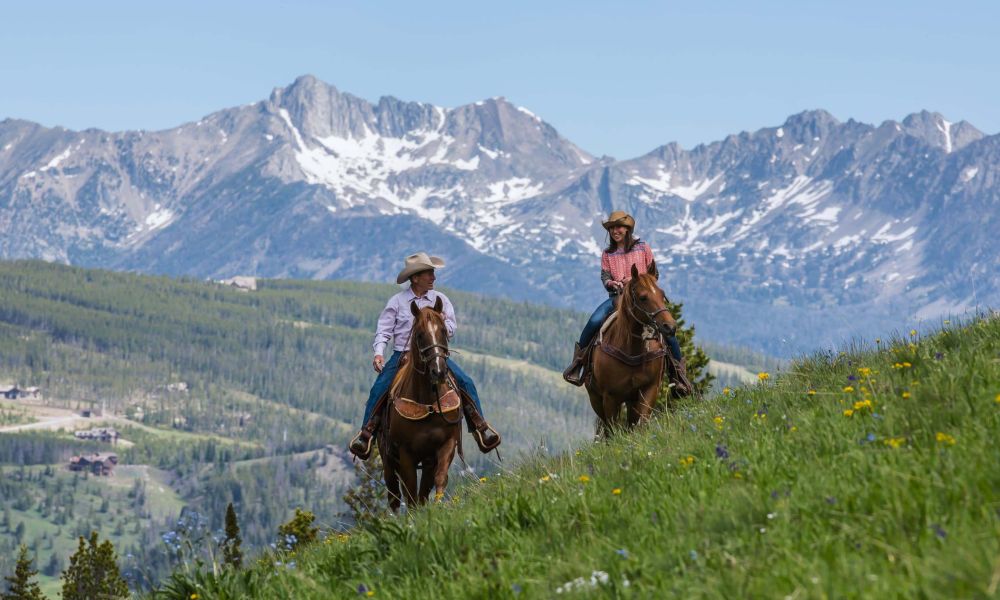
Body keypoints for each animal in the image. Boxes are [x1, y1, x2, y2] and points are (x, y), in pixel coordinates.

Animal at [376, 298, 462, 508]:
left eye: (444, 331)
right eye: (420, 335)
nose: (438, 371)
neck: (428, 402)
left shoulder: (445, 445)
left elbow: (439, 480)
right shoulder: (406, 454)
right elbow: (410, 493)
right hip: (388, 459)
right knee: (394, 494)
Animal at [584, 264, 680, 438]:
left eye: (662, 294)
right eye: (643, 297)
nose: (670, 327)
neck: (632, 350)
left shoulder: (649, 390)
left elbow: (641, 424)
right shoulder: (610, 397)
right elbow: (612, 431)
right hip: (596, 398)